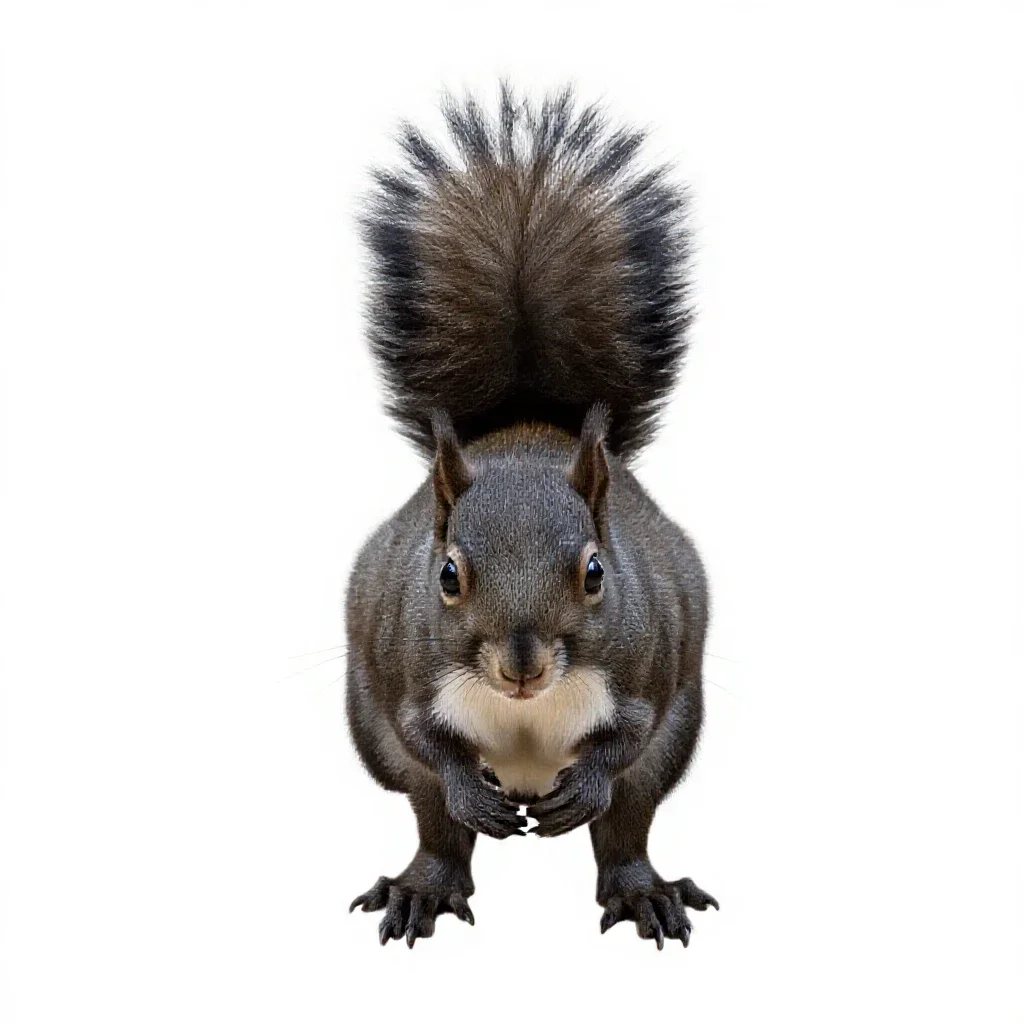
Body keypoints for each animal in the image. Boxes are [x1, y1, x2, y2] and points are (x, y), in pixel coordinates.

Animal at [345, 85, 718, 950]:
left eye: (596, 571)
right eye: (447, 575)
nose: (521, 666)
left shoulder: (649, 662)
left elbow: (628, 735)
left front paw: (585, 784)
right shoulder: (405, 670)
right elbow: (424, 737)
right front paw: (467, 789)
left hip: (669, 753)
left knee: (627, 823)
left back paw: (643, 890)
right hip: (381, 749)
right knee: (434, 820)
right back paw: (423, 885)